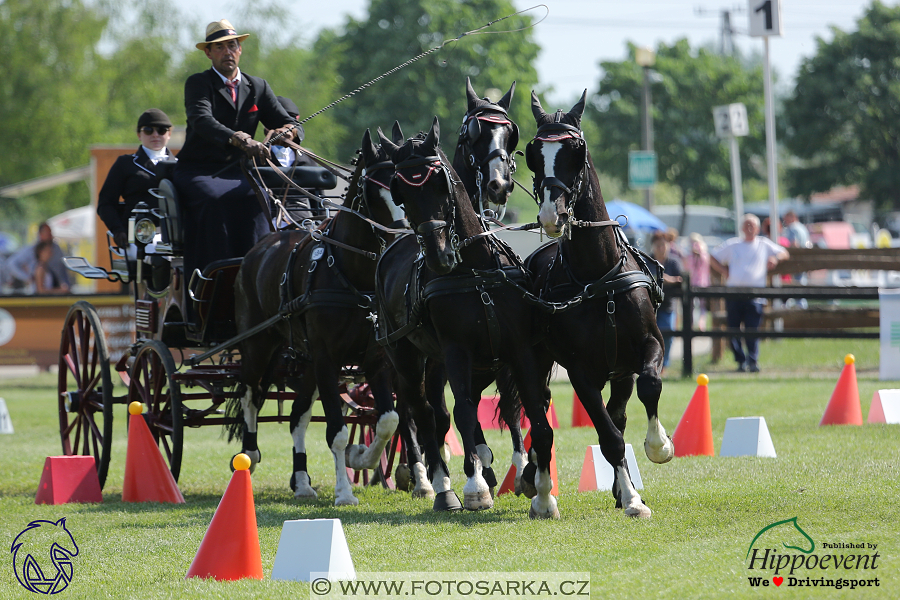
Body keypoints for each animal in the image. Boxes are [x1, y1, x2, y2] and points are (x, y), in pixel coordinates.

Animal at [232, 130, 404, 506]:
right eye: (374, 190)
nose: (401, 236)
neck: (351, 275)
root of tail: (261, 246)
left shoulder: (376, 361)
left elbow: (388, 420)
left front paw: (361, 457)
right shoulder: (328, 358)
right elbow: (336, 431)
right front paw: (344, 492)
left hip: (307, 360)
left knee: (297, 416)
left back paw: (302, 482)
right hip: (257, 344)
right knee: (250, 395)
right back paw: (249, 455)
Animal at [372, 119, 556, 516]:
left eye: (440, 182)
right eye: (401, 191)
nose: (439, 255)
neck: (475, 271)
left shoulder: (518, 350)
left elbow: (534, 412)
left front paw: (539, 490)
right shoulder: (457, 351)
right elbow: (465, 415)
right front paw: (474, 487)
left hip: (451, 363)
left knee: (447, 413)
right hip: (407, 357)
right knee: (424, 413)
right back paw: (440, 486)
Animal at [524, 91, 672, 516]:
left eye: (577, 150)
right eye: (532, 153)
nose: (551, 214)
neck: (598, 276)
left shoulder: (646, 348)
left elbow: (648, 387)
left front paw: (658, 447)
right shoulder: (580, 372)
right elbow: (608, 436)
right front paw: (634, 500)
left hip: (618, 371)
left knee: (616, 413)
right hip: (531, 360)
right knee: (540, 425)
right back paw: (542, 493)